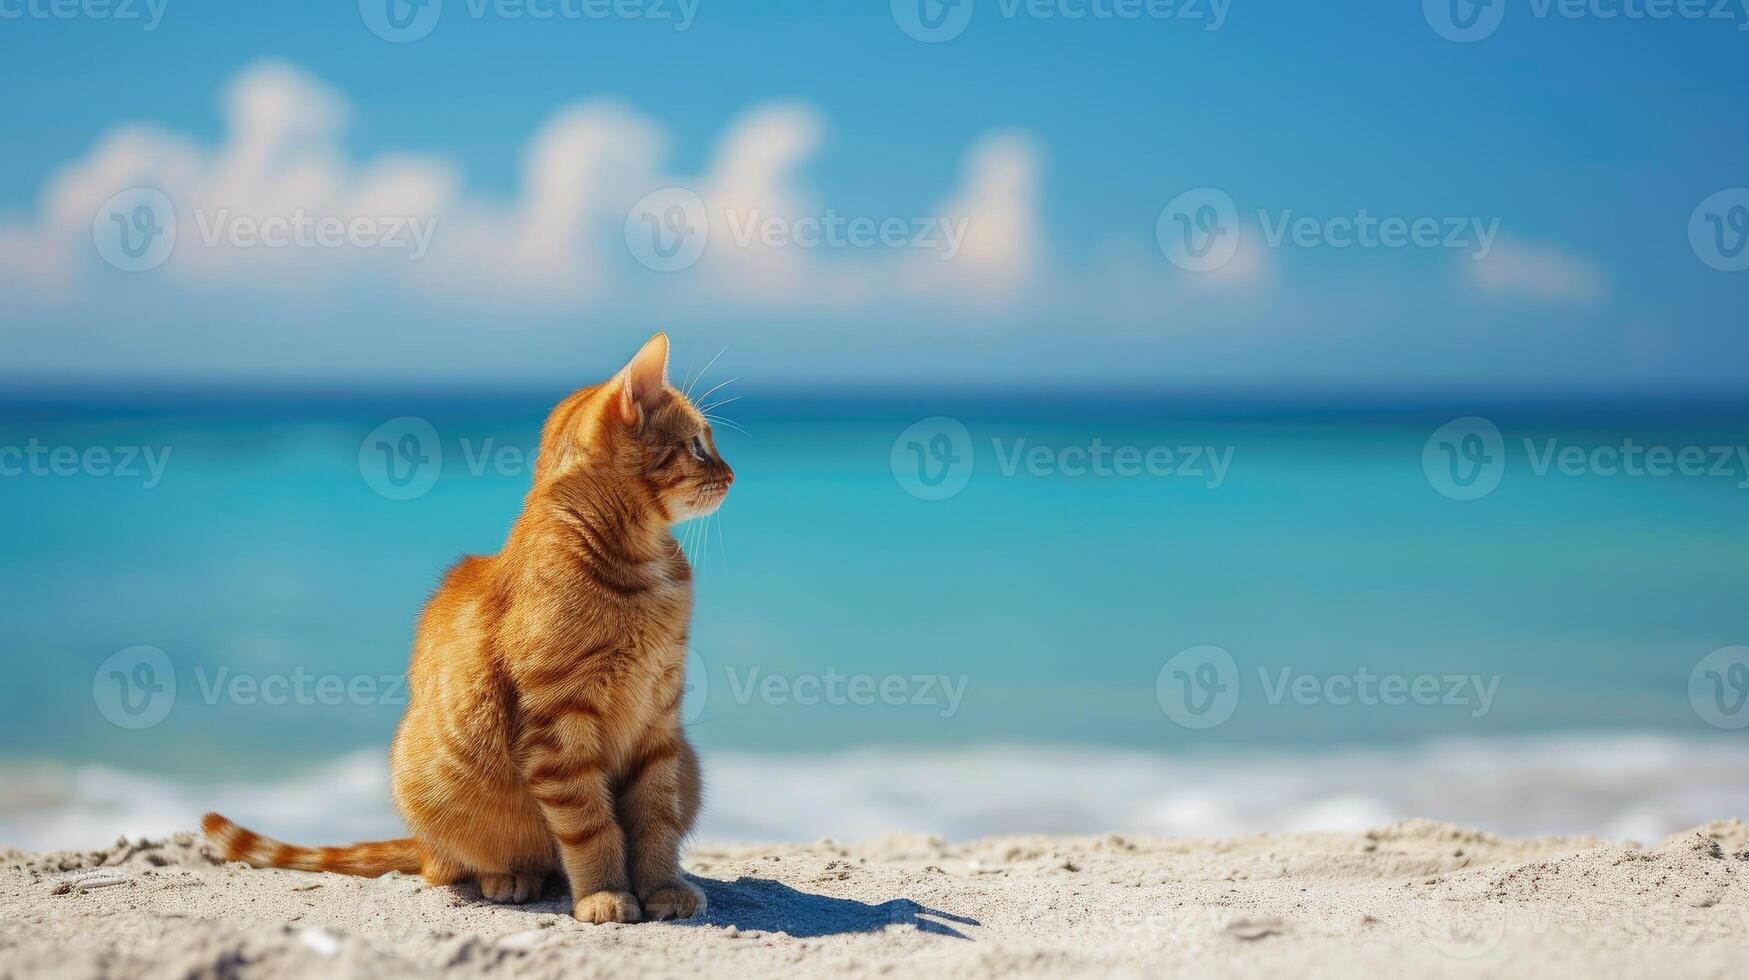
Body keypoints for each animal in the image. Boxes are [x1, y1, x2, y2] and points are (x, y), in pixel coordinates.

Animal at [201, 332, 727, 924]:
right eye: (697, 445)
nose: (731, 474)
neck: (641, 568)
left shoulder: (659, 723)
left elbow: (656, 817)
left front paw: (662, 886)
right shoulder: (559, 727)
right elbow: (591, 825)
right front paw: (605, 893)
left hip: (688, 763)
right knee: (448, 867)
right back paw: (509, 877)